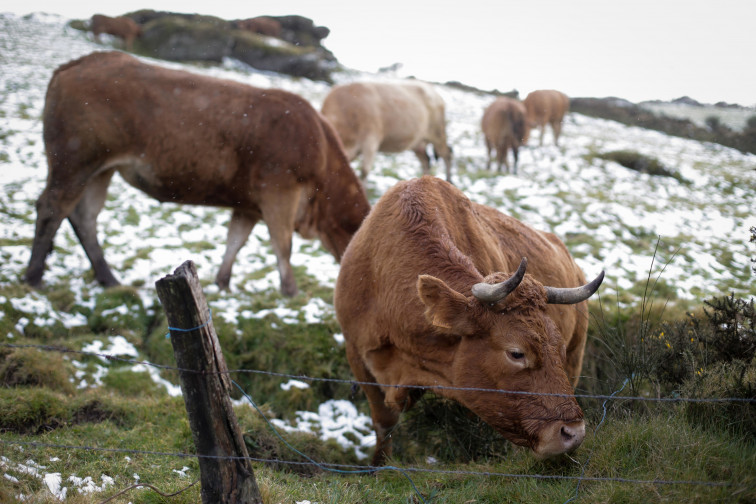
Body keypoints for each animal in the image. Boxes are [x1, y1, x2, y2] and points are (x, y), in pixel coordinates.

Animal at [24, 51, 370, 297]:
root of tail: (78, 63)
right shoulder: (279, 192)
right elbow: (282, 245)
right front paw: (291, 292)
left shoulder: (249, 204)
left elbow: (236, 241)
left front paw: (222, 283)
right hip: (74, 161)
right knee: (52, 208)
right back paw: (34, 277)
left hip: (100, 170)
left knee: (84, 216)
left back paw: (108, 279)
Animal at [321, 81, 453, 182]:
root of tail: (433, 91)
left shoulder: (371, 139)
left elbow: (364, 171)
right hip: (418, 143)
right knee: (426, 161)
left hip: (438, 133)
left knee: (447, 154)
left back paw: (449, 180)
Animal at [334, 176, 604, 466]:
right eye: (516, 353)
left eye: (558, 348)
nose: (573, 433)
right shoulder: (357, 355)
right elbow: (384, 424)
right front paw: (378, 466)